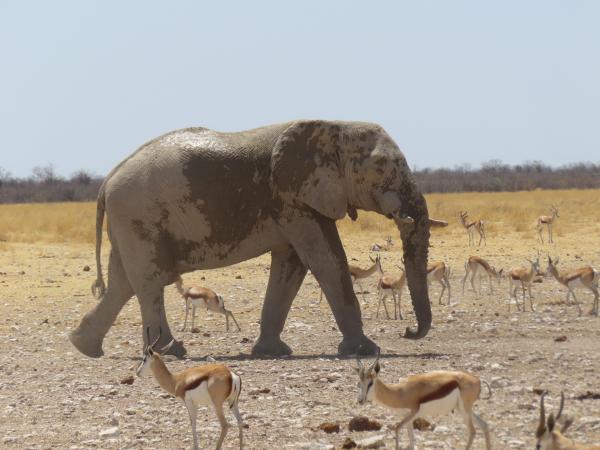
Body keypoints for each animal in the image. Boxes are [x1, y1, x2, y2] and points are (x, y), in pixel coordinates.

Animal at [69, 120, 438, 358]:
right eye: (381, 165)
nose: (409, 333)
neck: (335, 126)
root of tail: (108, 180)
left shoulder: (297, 202)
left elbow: (292, 266)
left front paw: (272, 352)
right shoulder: (292, 197)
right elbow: (327, 261)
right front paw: (365, 350)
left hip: (129, 222)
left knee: (122, 283)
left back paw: (85, 347)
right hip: (139, 216)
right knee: (148, 282)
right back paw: (171, 351)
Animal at [356, 349, 492, 450]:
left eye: (371, 383)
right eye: (359, 383)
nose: (360, 401)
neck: (399, 392)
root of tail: (477, 379)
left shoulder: (412, 413)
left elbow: (397, 429)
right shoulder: (408, 418)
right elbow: (411, 441)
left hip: (464, 410)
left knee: (473, 431)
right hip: (463, 409)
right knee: (484, 425)